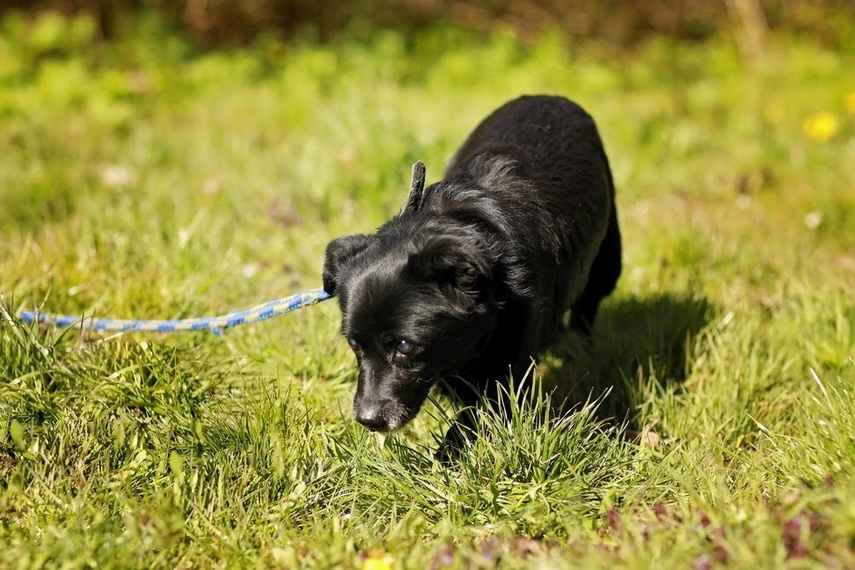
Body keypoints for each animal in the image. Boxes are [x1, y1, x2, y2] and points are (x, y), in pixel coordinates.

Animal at [322, 95, 620, 450]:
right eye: (354, 343)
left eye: (405, 346)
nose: (368, 421)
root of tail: (551, 97)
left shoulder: (508, 369)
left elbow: (474, 414)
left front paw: (445, 455)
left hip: (608, 258)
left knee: (587, 307)